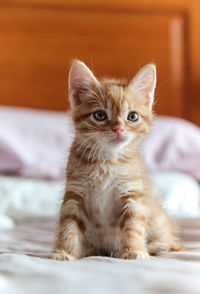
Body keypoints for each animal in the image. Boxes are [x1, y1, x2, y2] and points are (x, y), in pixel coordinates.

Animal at [51, 60, 184, 260]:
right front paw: (64, 251)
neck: (107, 161)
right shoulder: (74, 193)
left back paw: (157, 246)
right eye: (99, 115)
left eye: (132, 116)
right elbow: (68, 225)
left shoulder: (132, 194)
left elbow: (133, 225)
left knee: (174, 244)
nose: (118, 129)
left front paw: (133, 250)